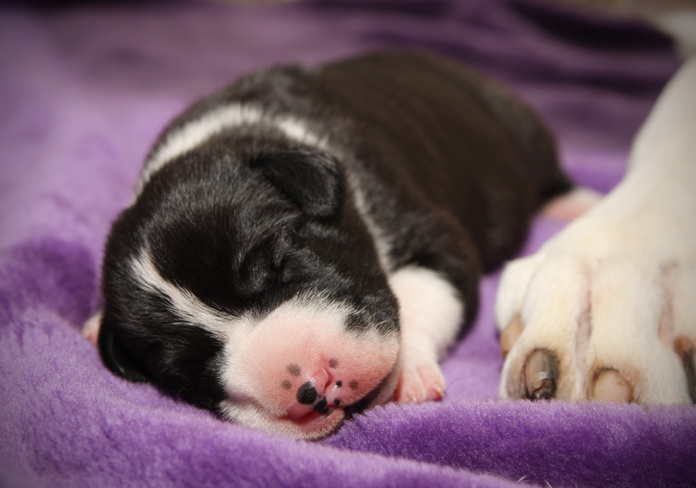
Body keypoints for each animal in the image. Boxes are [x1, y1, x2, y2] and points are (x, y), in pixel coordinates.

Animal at [83, 51, 572, 440]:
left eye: (277, 262)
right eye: (188, 372)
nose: (312, 387)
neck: (247, 134)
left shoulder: (430, 233)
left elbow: (422, 294)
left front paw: (408, 372)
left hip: (523, 131)